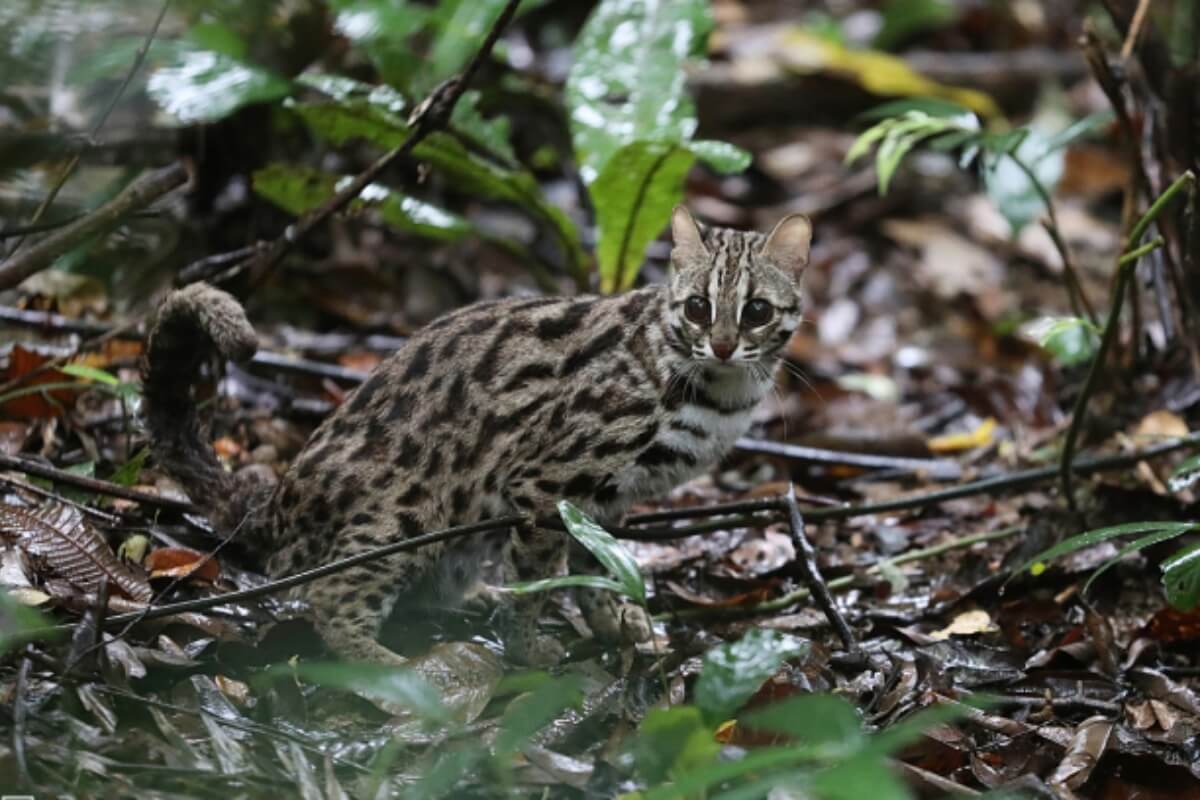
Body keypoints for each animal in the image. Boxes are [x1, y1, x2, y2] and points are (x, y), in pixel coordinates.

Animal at [142, 208, 816, 671]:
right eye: (699, 308)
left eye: (756, 312)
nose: (723, 345)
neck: (719, 390)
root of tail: (276, 500)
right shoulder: (547, 482)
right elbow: (538, 580)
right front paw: (527, 648)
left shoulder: (605, 499)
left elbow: (595, 564)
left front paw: (613, 622)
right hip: (407, 514)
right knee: (328, 597)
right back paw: (390, 671)